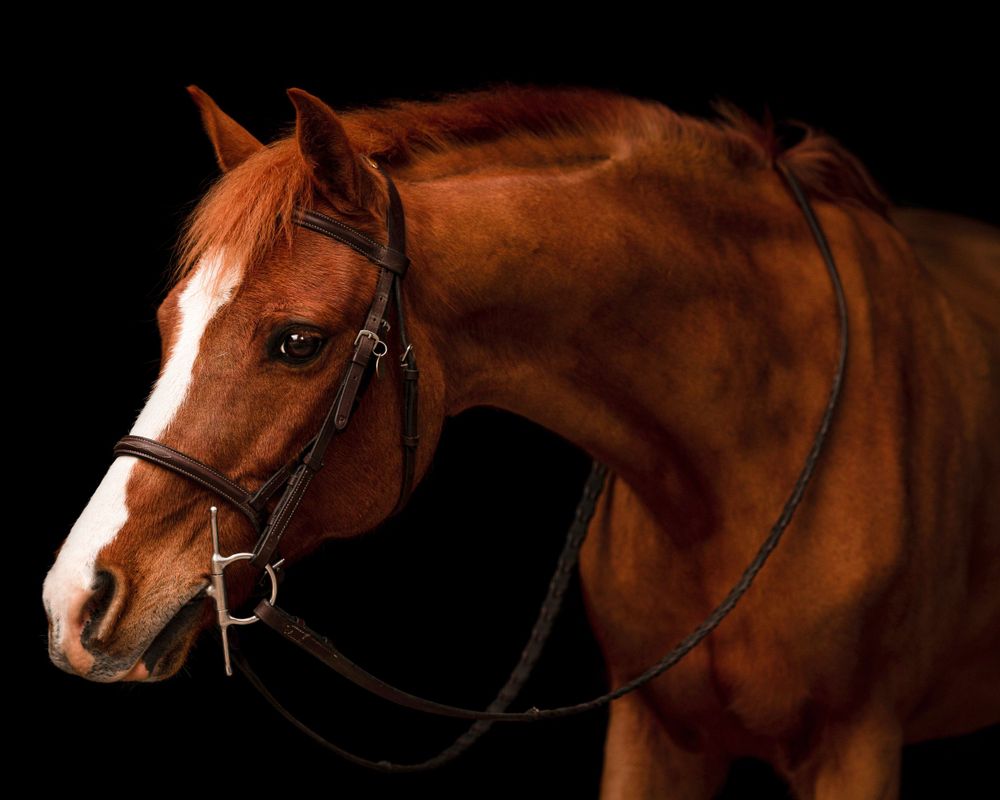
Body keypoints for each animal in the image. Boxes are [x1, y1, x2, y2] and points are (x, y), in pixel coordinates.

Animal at [42, 84, 999, 798]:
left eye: (298, 341)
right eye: (168, 323)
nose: (75, 600)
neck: (742, 452)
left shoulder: (856, 749)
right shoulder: (651, 741)